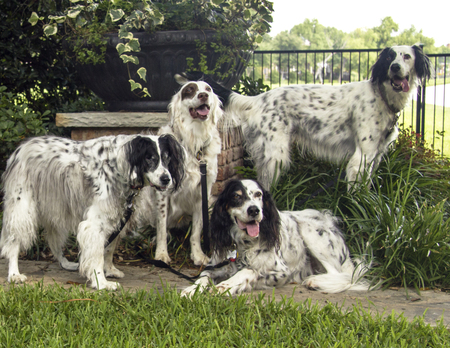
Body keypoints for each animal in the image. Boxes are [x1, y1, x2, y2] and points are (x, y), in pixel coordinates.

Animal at [0, 132, 185, 290]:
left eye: (167, 158)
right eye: (149, 158)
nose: (166, 179)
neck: (119, 165)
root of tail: (21, 148)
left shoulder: (116, 217)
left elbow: (108, 249)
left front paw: (110, 270)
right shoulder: (95, 223)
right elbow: (97, 255)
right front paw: (101, 282)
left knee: (54, 242)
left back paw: (65, 263)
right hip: (22, 209)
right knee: (13, 242)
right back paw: (14, 274)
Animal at [132, 77, 223, 266]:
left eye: (208, 89)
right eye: (189, 90)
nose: (203, 95)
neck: (193, 143)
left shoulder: (202, 194)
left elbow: (196, 231)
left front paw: (198, 254)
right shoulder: (162, 192)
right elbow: (161, 228)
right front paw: (161, 254)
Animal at [181, 179, 370, 296]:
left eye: (258, 194)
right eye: (236, 196)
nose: (254, 210)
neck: (244, 244)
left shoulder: (281, 272)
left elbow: (249, 270)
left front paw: (225, 286)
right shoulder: (215, 265)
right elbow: (203, 277)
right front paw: (191, 290)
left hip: (311, 232)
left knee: (344, 275)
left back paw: (315, 281)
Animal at [185, 45, 434, 190]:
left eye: (406, 56)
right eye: (390, 57)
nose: (395, 67)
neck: (381, 95)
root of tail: (260, 98)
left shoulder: (376, 155)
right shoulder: (362, 156)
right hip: (277, 155)